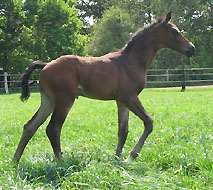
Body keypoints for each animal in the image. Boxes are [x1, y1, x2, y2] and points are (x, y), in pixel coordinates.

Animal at [13, 12, 195, 163]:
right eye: (175, 32)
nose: (191, 48)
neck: (131, 61)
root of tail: (45, 65)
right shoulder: (130, 97)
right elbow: (148, 122)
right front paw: (131, 156)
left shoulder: (122, 101)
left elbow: (123, 131)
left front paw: (117, 159)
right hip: (65, 100)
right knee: (53, 128)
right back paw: (60, 161)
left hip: (48, 101)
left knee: (30, 126)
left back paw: (15, 161)